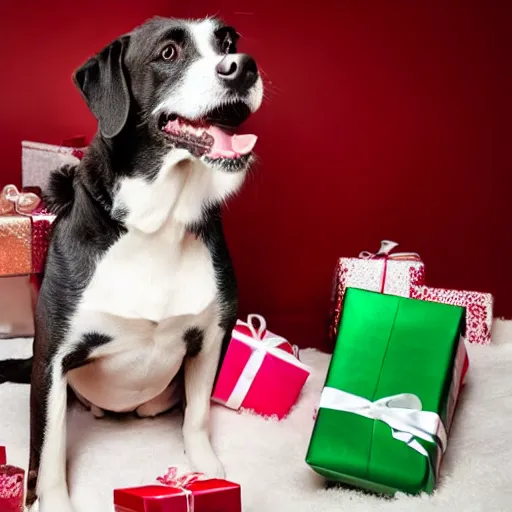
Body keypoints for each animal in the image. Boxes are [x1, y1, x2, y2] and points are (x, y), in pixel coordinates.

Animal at [0, 16, 262, 512]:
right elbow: (48, 447)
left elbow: (197, 415)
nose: (244, 66)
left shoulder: (212, 335)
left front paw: (204, 469)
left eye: (227, 41)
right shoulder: (52, 357)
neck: (157, 223)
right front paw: (51, 498)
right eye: (168, 53)